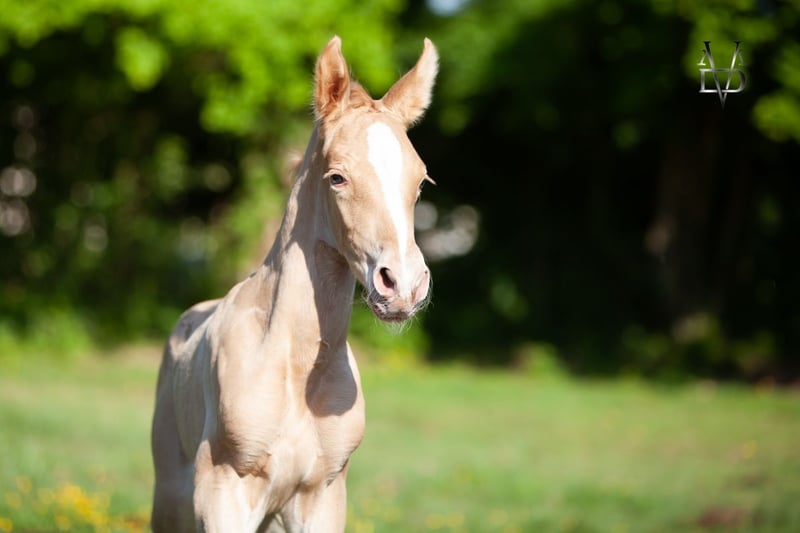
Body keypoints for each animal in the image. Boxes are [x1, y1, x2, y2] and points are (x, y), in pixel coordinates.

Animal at [150, 36, 438, 532]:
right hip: (170, 498)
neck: (298, 368)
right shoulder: (223, 493)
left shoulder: (322, 495)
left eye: (420, 181)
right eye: (337, 177)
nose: (402, 286)